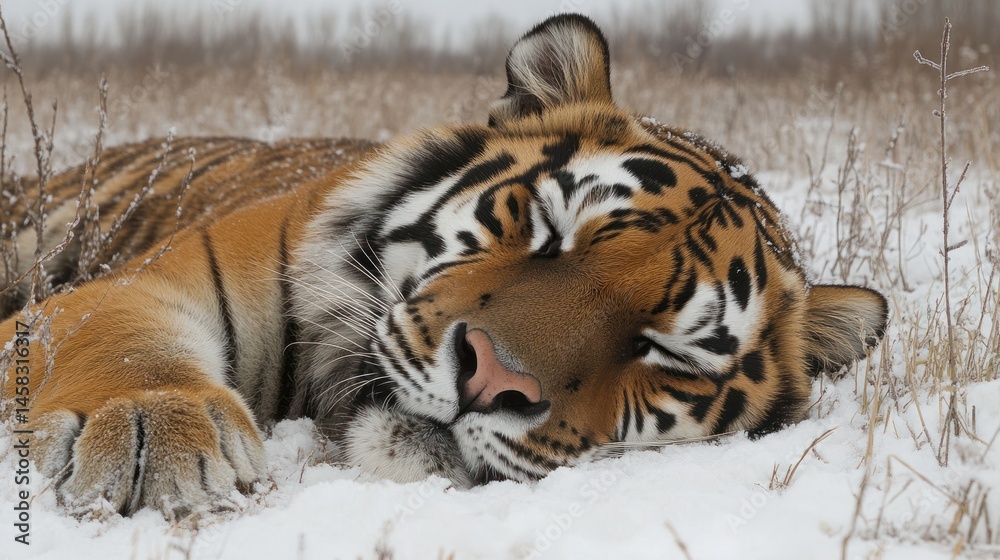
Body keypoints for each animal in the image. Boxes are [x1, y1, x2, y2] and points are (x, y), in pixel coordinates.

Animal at [0, 14, 887, 518]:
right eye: (548, 227)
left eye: (664, 350)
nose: (493, 380)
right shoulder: (143, 282)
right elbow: (120, 338)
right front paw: (152, 431)